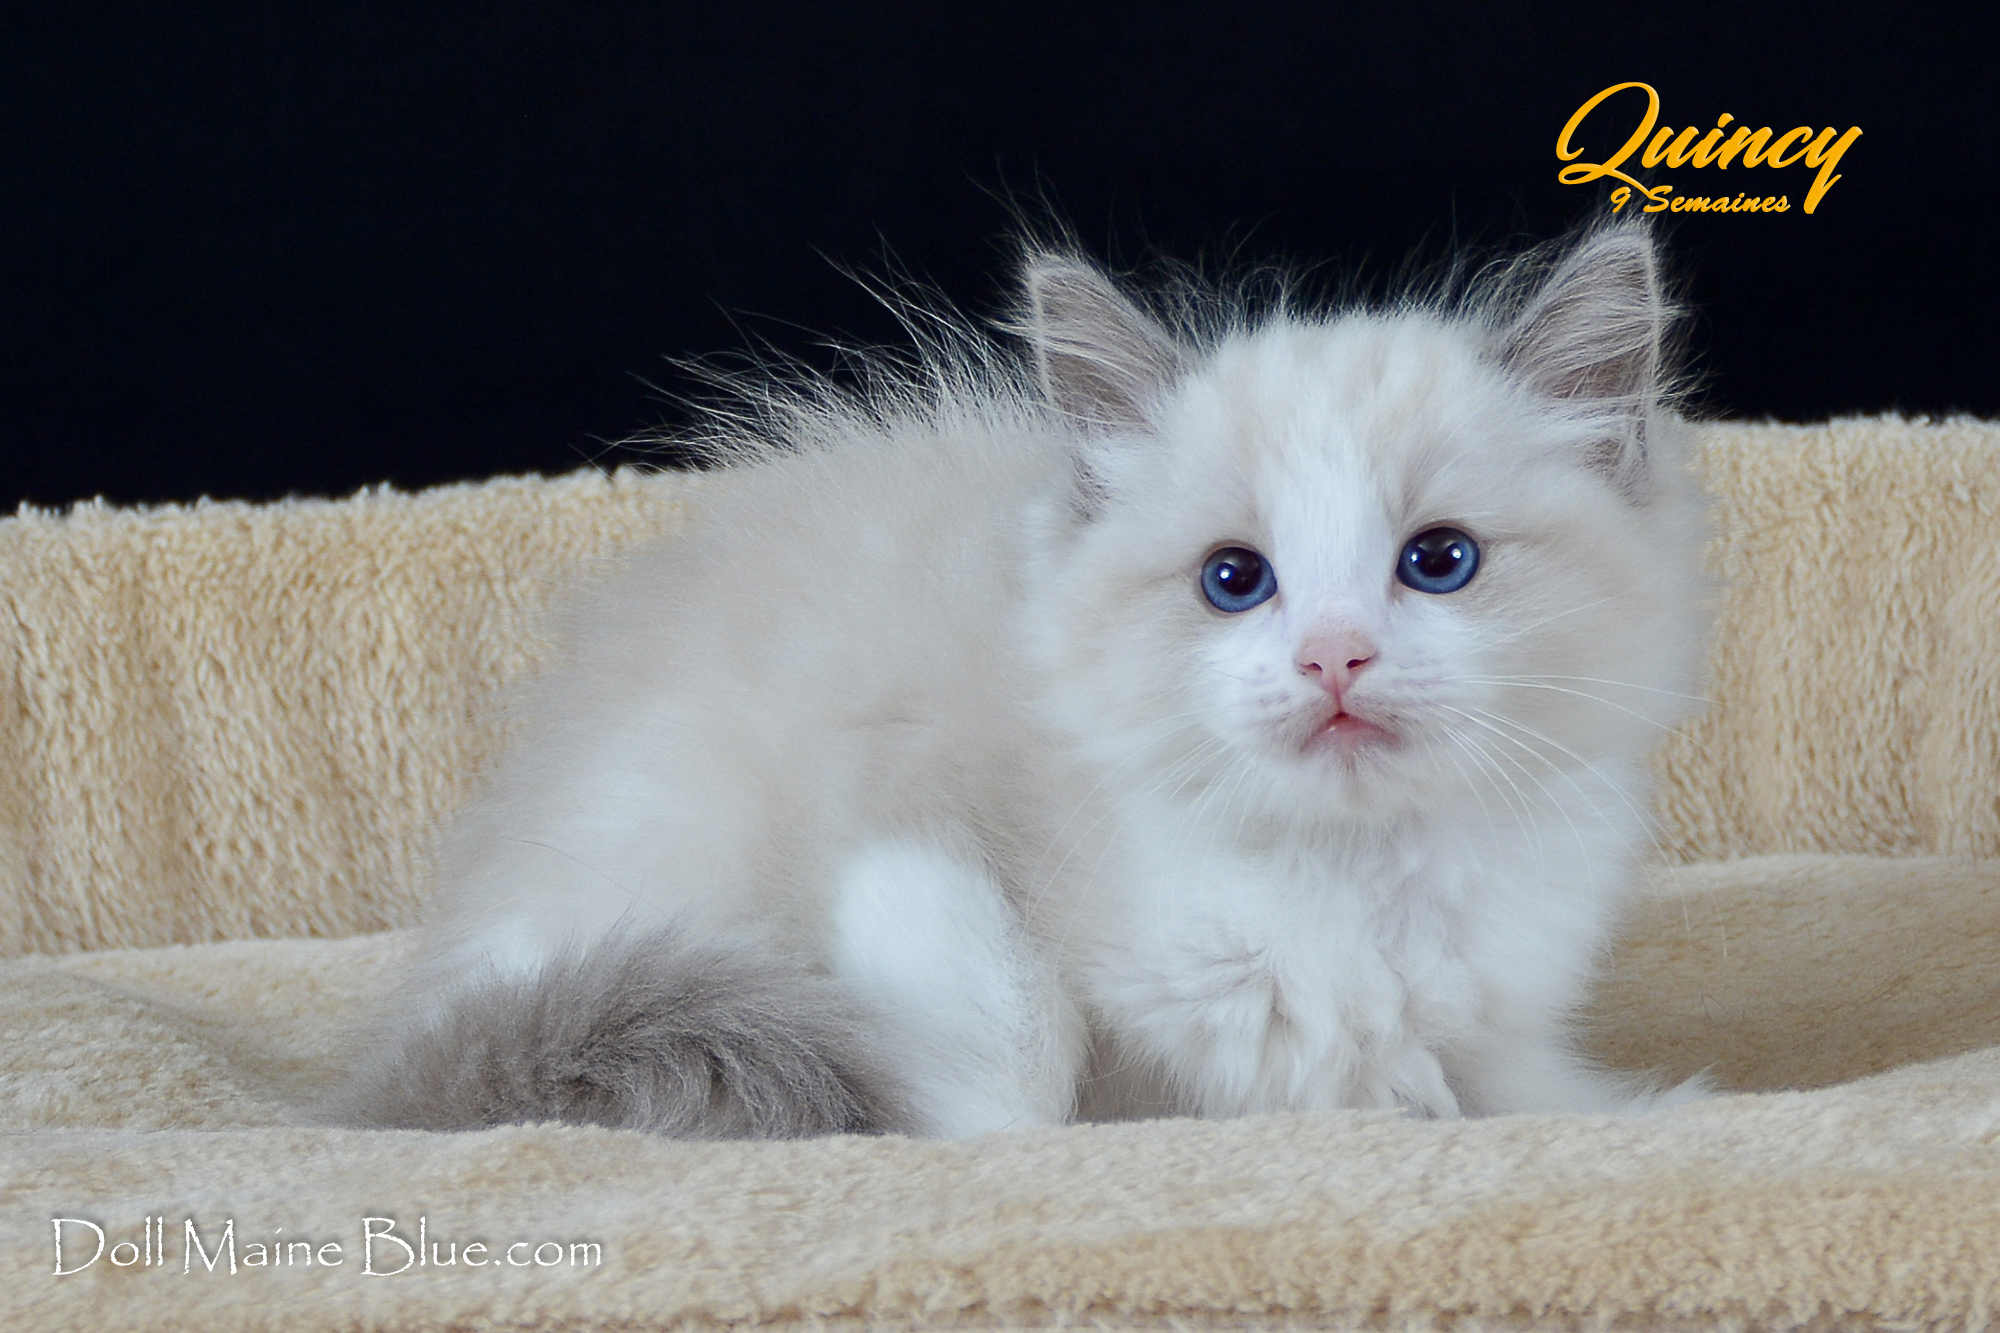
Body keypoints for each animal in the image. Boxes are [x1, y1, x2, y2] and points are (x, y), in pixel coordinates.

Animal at [331, 220, 1709, 1138]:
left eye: (1438, 562)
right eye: (1233, 580)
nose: (1333, 656)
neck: (1347, 881)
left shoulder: (1488, 1029)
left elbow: (1532, 1101)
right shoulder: (903, 833)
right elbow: (1016, 1060)